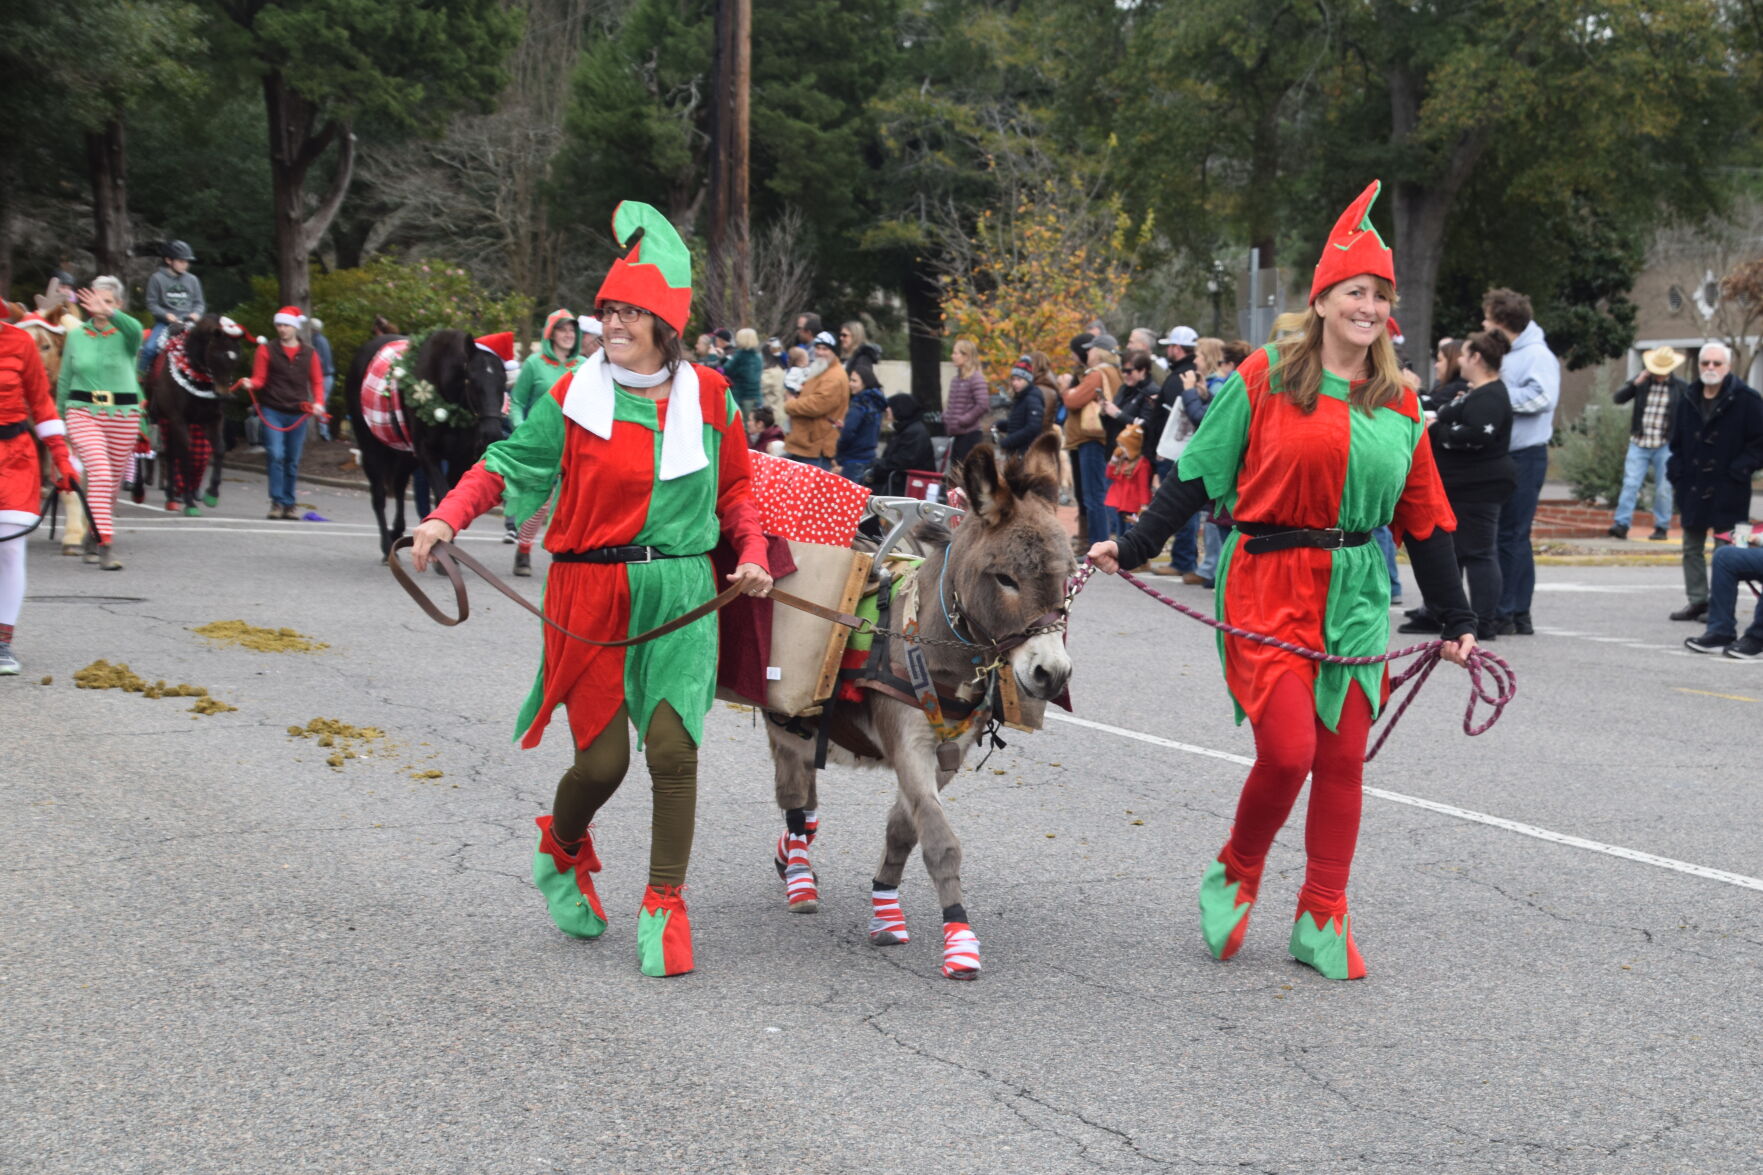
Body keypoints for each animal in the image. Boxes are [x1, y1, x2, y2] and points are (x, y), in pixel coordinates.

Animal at [145, 314, 246, 511]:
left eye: (236, 357)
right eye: (216, 354)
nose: (223, 393)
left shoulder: (213, 418)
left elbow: (219, 449)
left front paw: (211, 494)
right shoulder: (178, 419)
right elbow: (186, 454)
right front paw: (190, 503)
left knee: (171, 454)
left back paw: (173, 495)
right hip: (159, 417)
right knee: (166, 452)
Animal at [345, 326, 507, 561]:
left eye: (503, 383)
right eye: (472, 381)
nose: (492, 434)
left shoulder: (459, 457)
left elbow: (450, 498)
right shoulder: (426, 452)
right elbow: (442, 494)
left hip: (406, 454)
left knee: (399, 485)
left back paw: (396, 531)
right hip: (371, 446)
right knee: (379, 495)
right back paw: (386, 545)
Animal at [761, 432, 1071, 980]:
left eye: (1068, 578)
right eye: (1005, 578)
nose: (1051, 674)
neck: (927, 641)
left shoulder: (948, 755)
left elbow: (905, 829)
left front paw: (885, 910)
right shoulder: (908, 744)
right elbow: (941, 842)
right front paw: (960, 942)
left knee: (805, 800)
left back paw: (791, 861)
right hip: (785, 714)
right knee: (794, 798)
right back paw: (799, 878)